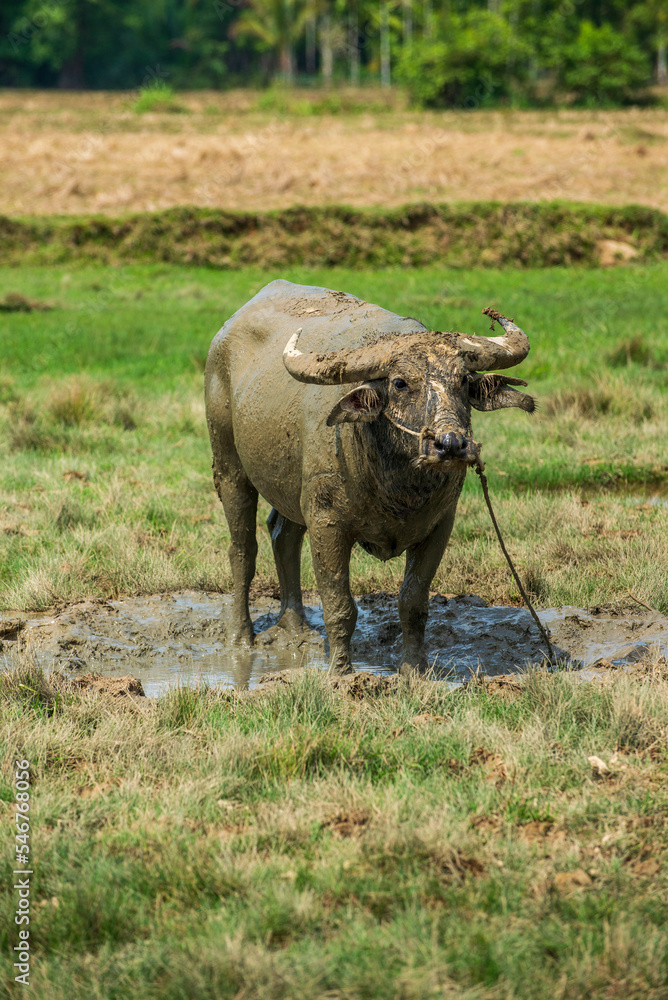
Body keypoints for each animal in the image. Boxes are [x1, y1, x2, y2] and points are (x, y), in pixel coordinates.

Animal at [204, 278, 532, 676]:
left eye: (464, 382)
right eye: (400, 383)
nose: (450, 444)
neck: (397, 487)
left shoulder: (439, 525)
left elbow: (413, 603)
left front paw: (413, 671)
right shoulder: (327, 523)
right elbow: (340, 605)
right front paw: (340, 674)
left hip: (291, 485)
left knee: (283, 536)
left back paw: (295, 628)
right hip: (229, 466)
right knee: (243, 548)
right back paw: (241, 638)